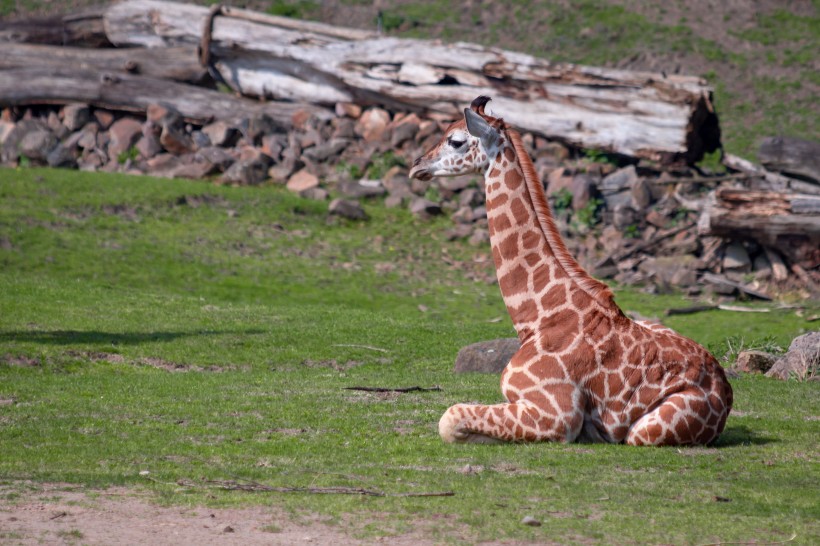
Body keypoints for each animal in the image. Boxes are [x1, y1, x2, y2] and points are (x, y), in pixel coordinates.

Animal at [406, 96, 732, 446]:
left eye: (455, 140)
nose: (416, 166)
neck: (538, 317)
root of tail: (726, 394)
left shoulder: (557, 414)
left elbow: (450, 418)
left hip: (645, 431)